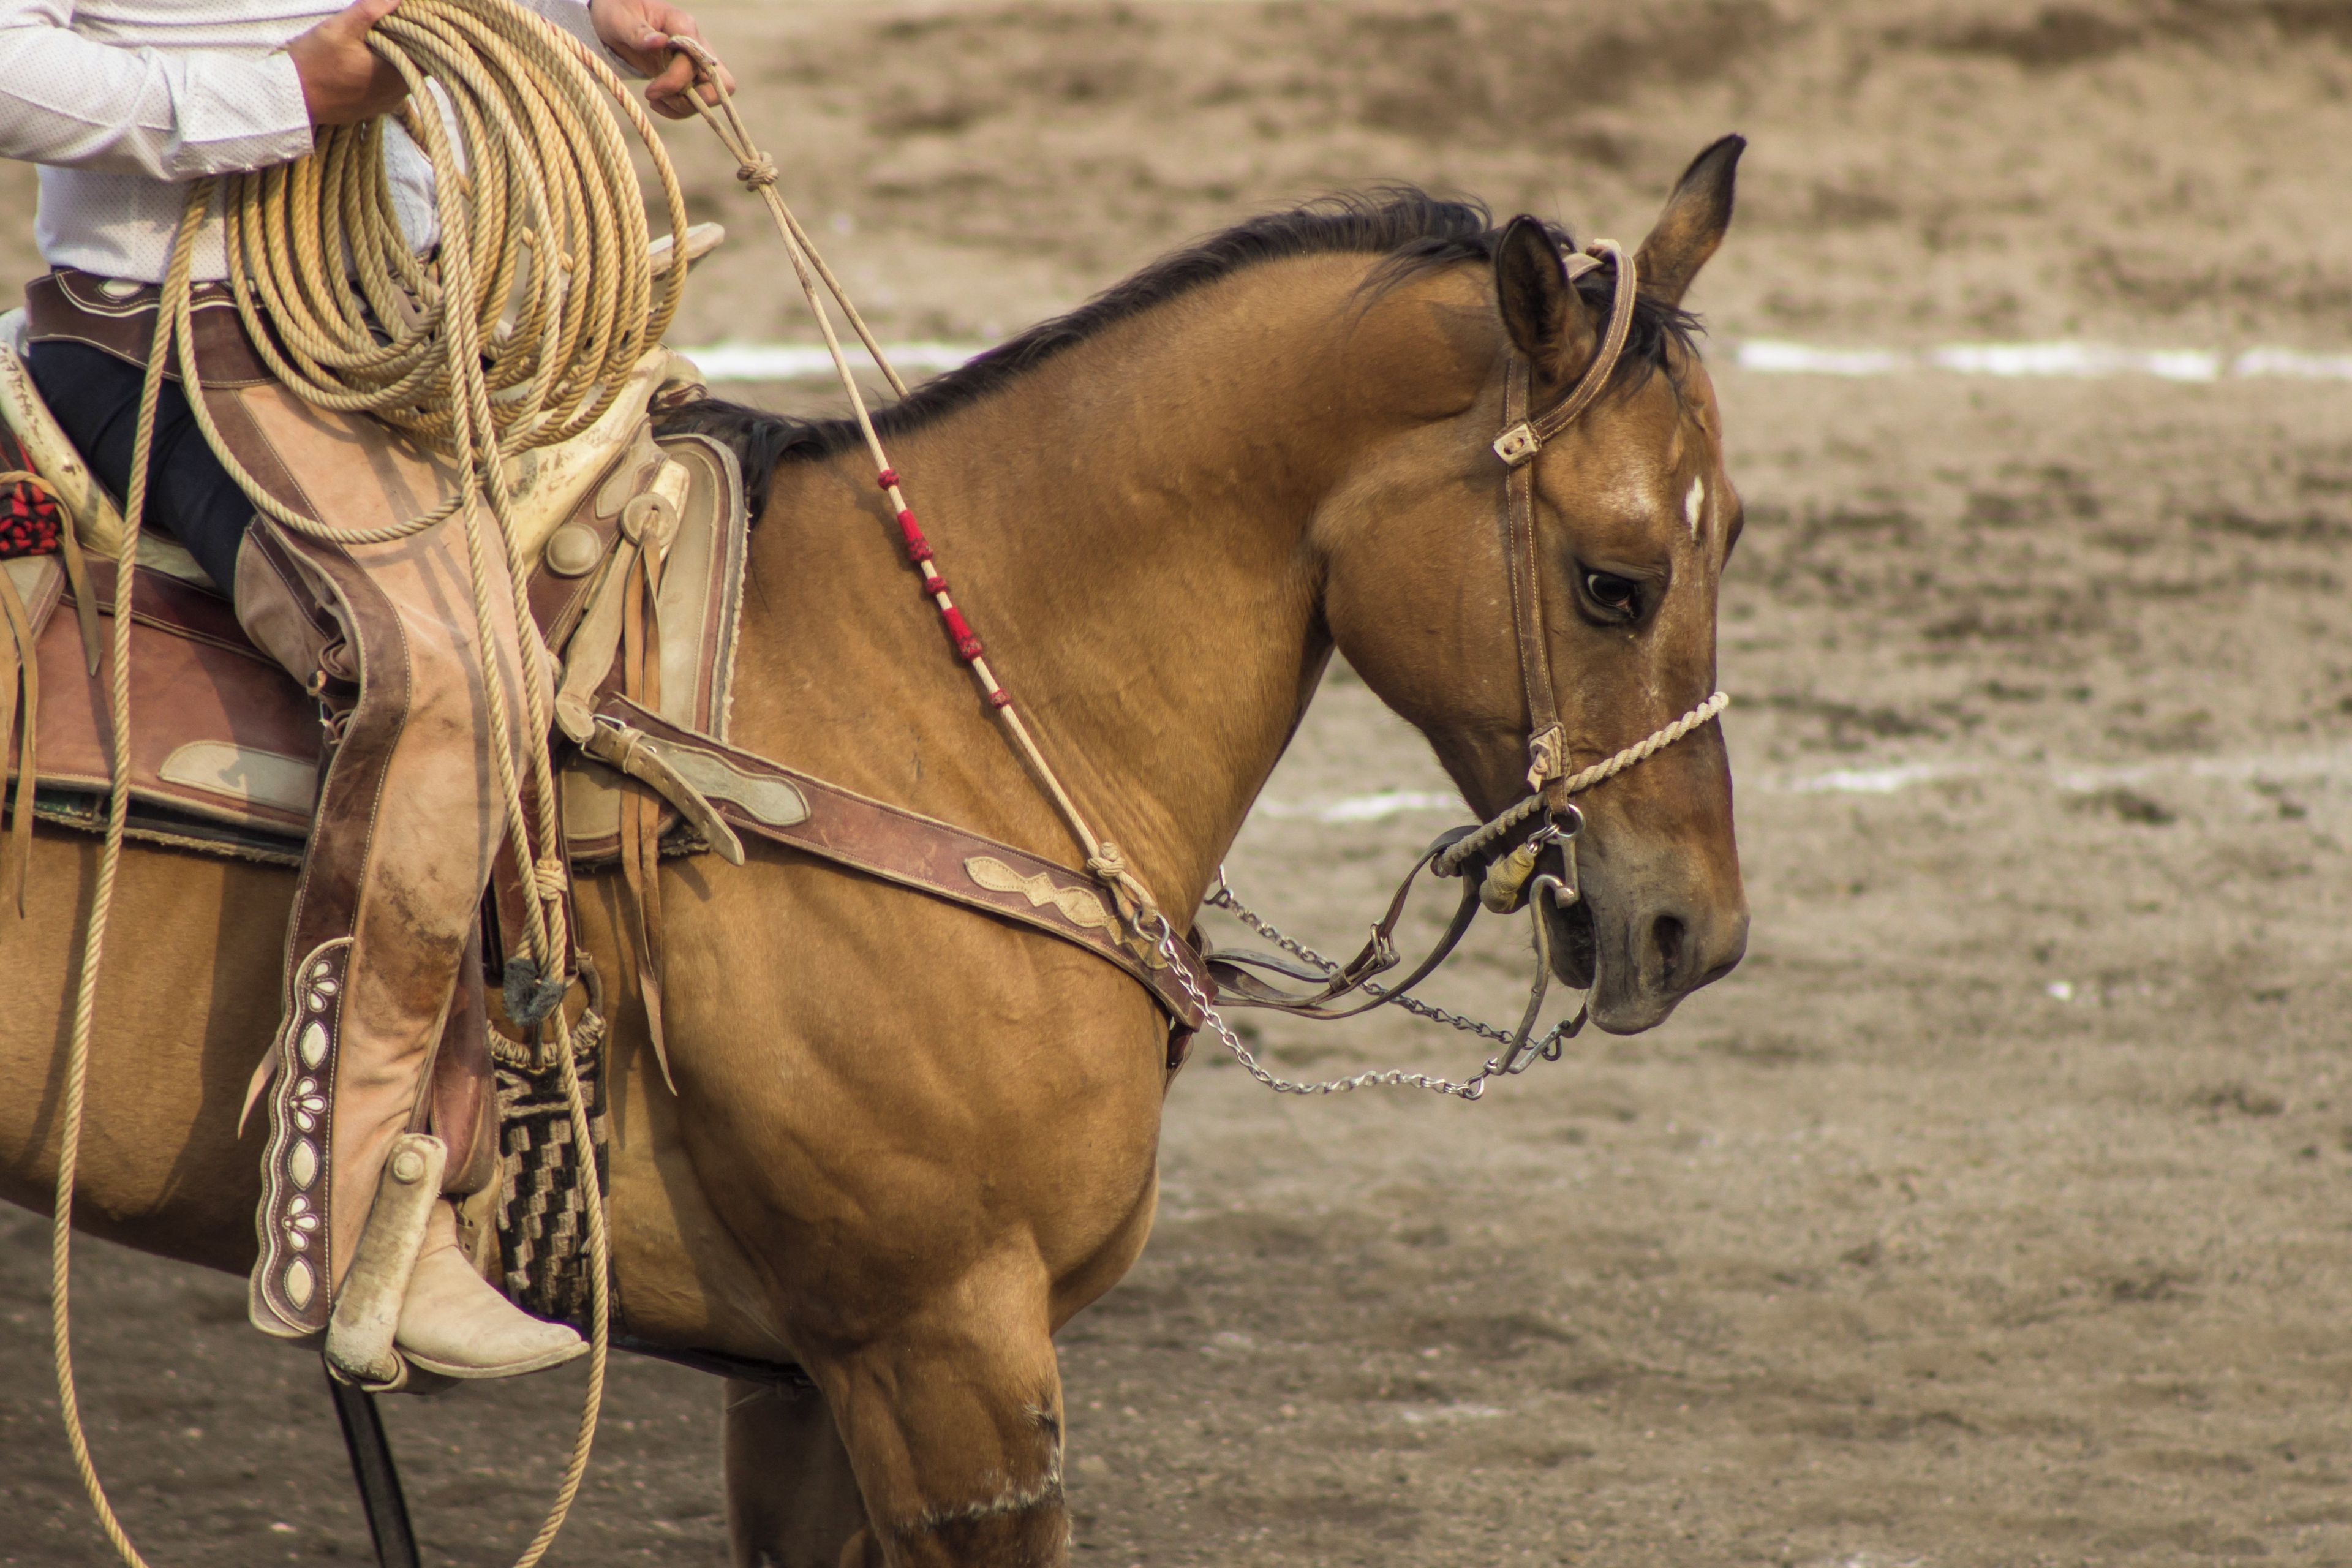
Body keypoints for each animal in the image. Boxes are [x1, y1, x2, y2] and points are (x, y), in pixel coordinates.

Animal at [2, 135, 1750, 1566]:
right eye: (1611, 578)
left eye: (1728, 536)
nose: (1693, 931)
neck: (938, 706)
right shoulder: (947, 1358)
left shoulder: (804, 1386)